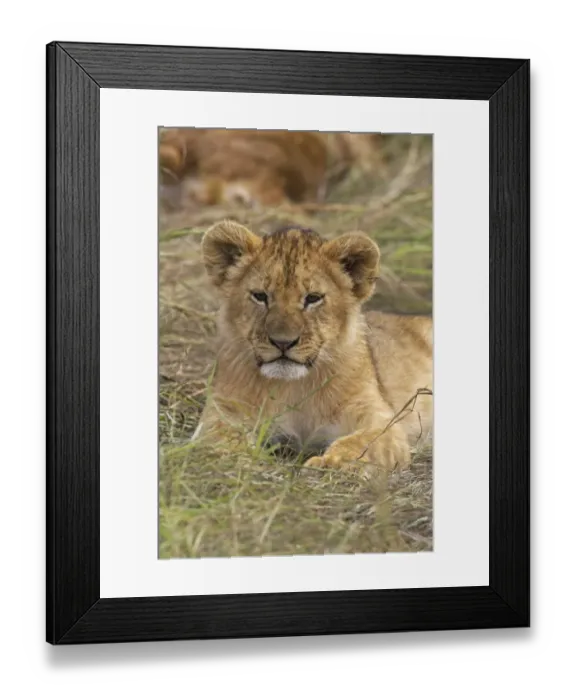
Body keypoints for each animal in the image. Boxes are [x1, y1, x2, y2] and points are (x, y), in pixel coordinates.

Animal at [194, 220, 432, 471]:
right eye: (260, 296)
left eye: (313, 298)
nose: (283, 342)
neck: (292, 388)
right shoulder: (223, 409)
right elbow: (219, 436)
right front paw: (234, 458)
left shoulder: (379, 419)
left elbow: (361, 443)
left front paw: (330, 462)